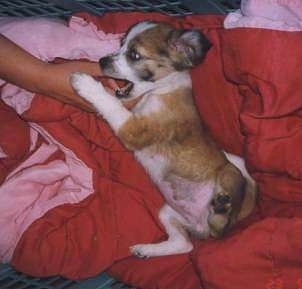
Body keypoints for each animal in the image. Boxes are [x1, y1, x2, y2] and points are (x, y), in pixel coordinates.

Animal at [71, 21, 258, 258]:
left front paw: (86, 85)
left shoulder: (133, 129)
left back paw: (222, 207)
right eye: (121, 44)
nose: (101, 61)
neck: (159, 90)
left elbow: (110, 104)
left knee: (221, 227)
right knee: (185, 244)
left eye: (134, 55)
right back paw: (146, 250)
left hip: (229, 175)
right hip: (168, 213)